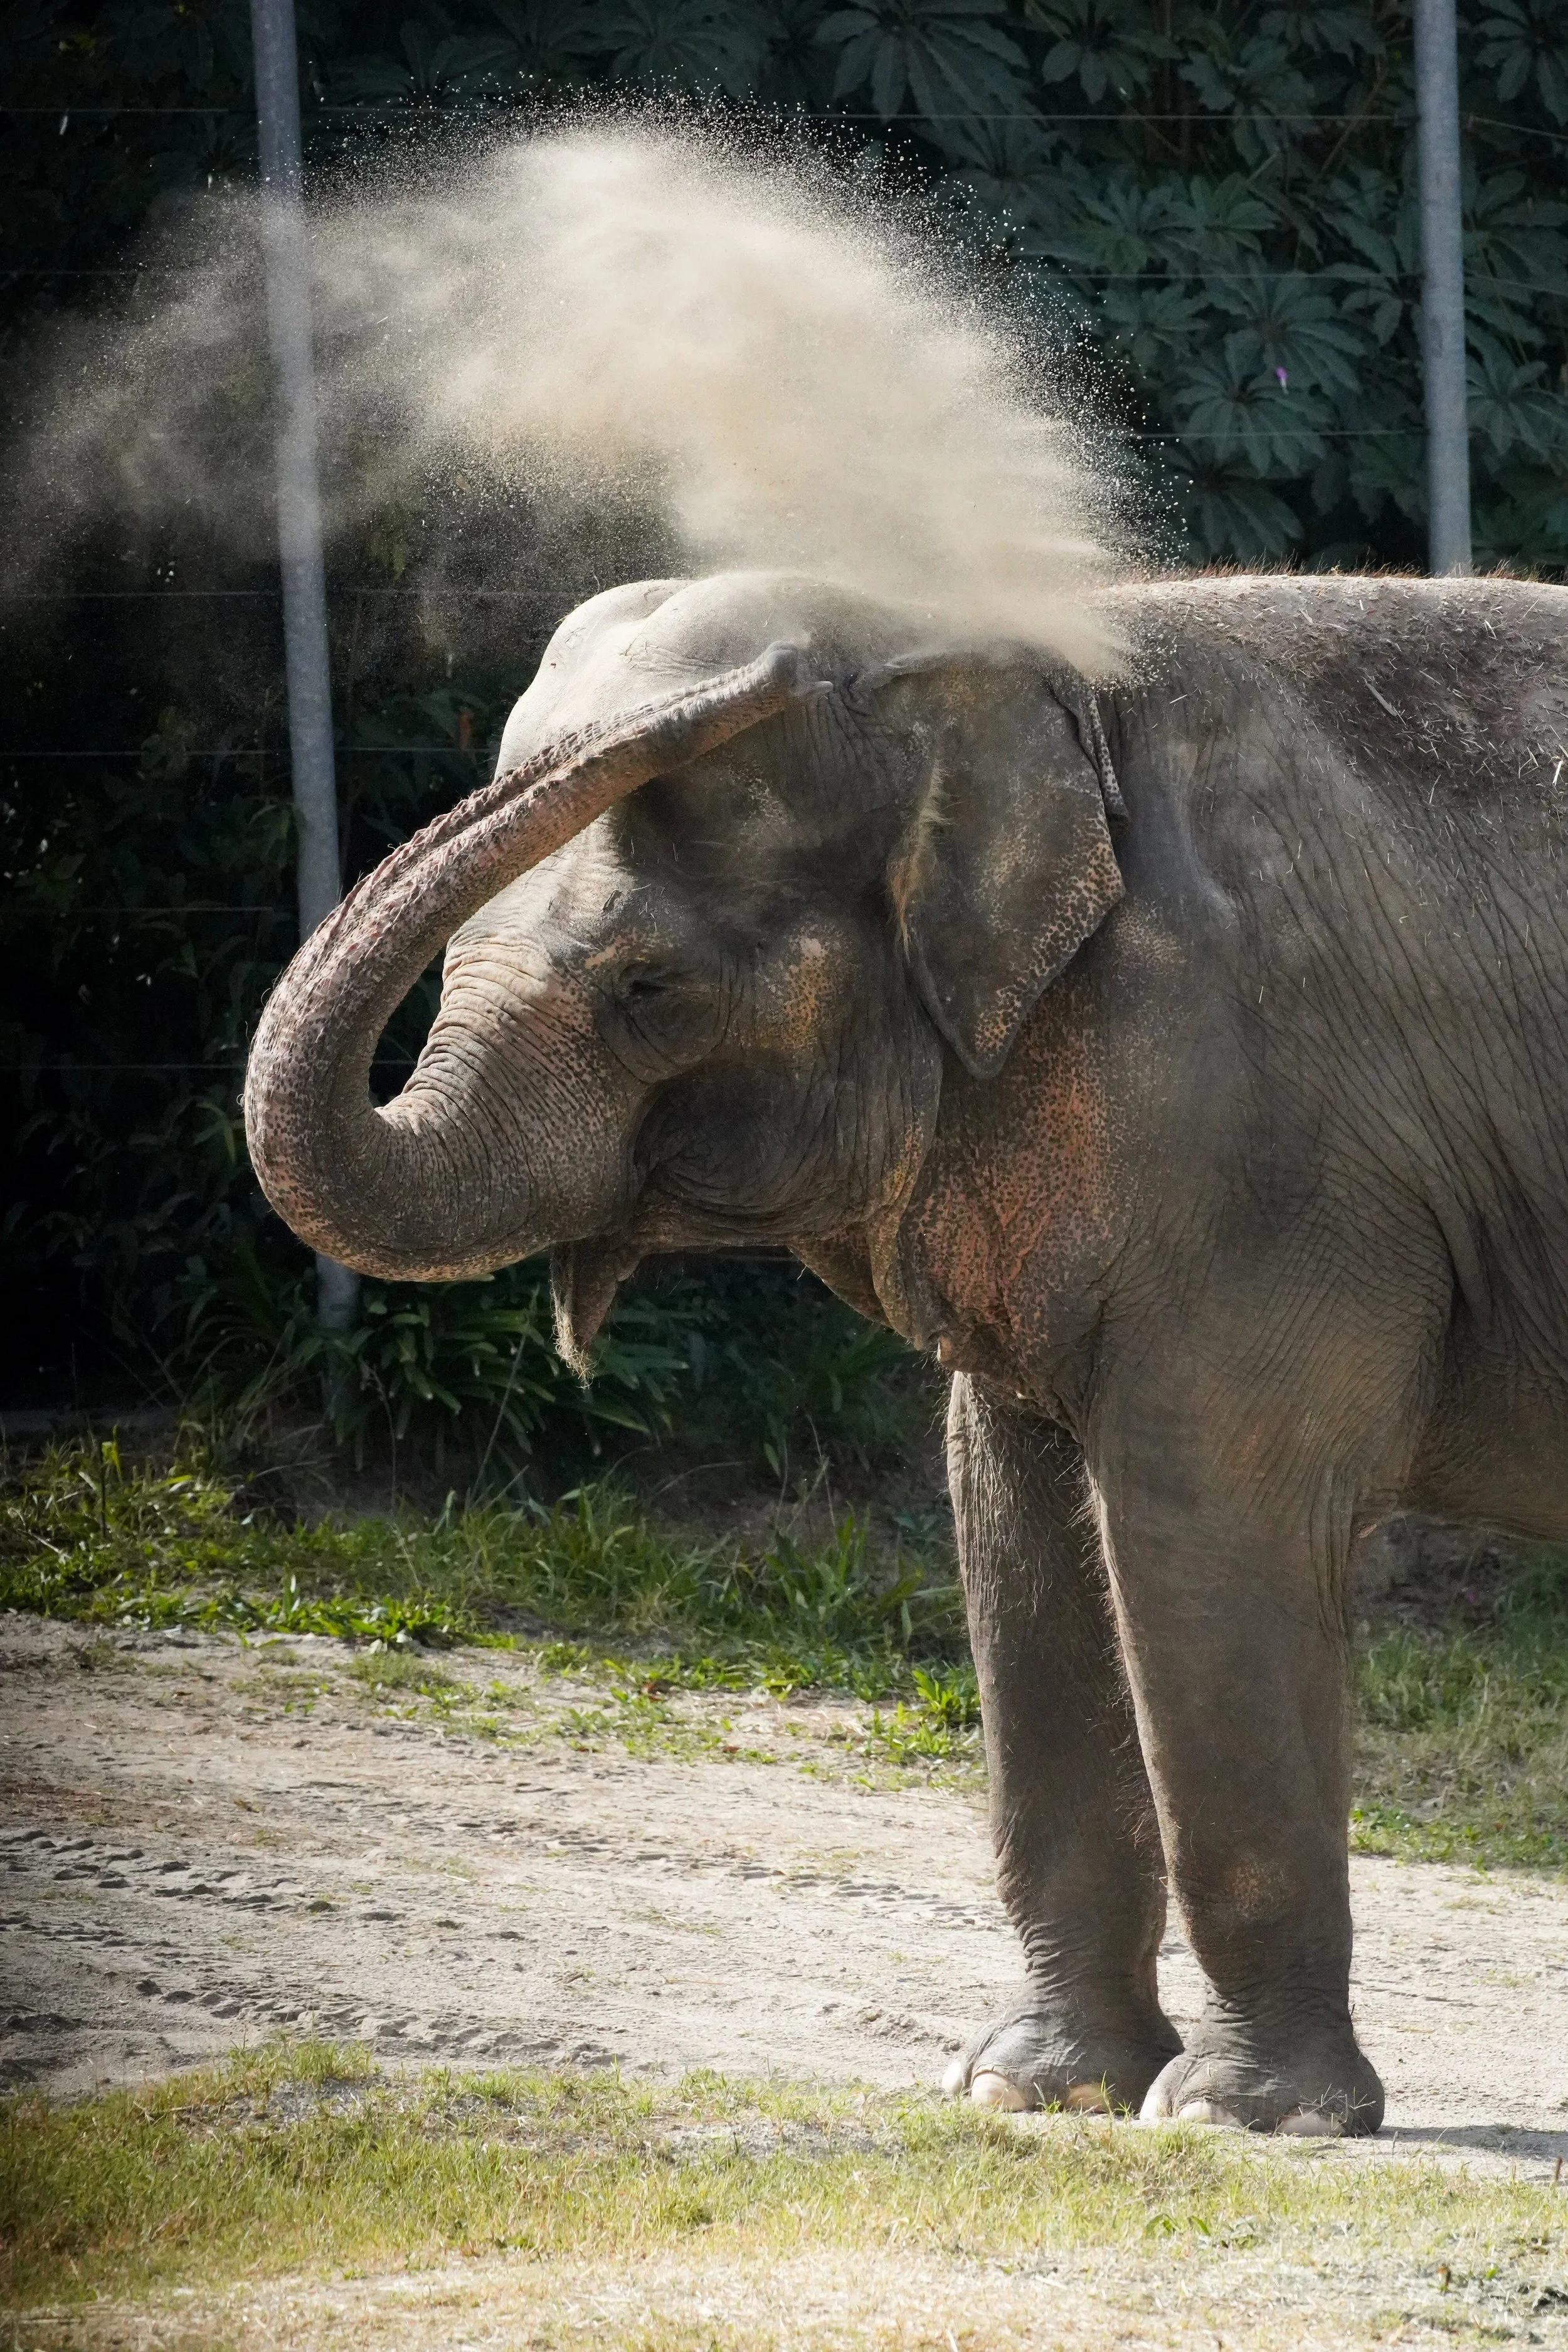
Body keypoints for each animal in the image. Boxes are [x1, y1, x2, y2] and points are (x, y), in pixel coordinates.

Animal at [245, 564, 1568, 2135]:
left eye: (649, 990)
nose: (761, 666)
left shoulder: (1265, 1154)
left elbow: (1204, 1521)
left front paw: (1235, 2118)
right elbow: (1015, 1524)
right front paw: (1026, 2091)